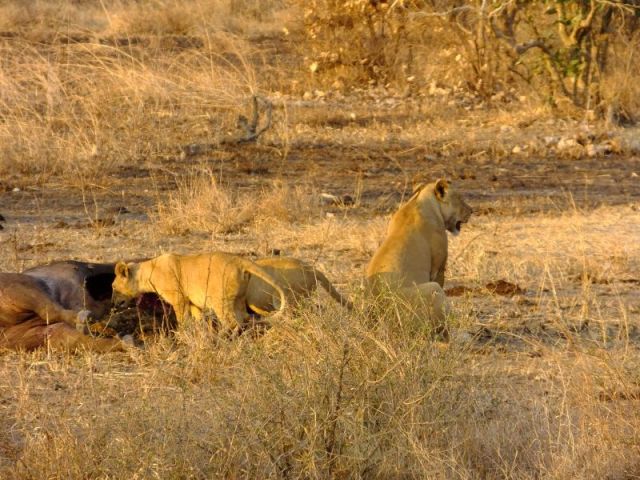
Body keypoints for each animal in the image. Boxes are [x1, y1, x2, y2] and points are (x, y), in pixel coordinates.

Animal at [112, 252, 287, 336]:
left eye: (113, 287)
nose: (113, 303)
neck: (146, 273)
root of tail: (240, 261)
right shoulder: (193, 302)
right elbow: (198, 319)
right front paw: (199, 332)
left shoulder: (179, 299)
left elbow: (182, 319)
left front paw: (182, 333)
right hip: (238, 298)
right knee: (243, 318)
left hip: (220, 299)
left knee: (231, 321)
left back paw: (221, 337)